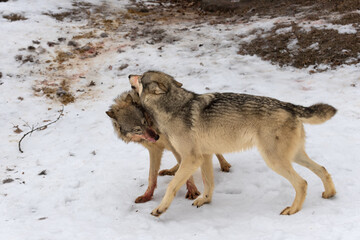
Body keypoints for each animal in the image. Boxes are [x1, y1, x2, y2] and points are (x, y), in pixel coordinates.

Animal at [129, 70, 338, 217]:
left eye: (140, 77)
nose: (129, 74)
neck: (173, 108)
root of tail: (289, 106)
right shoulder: (205, 156)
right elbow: (209, 183)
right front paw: (205, 201)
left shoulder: (191, 159)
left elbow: (172, 186)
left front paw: (160, 209)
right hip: (293, 156)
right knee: (322, 169)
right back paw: (329, 193)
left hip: (274, 160)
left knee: (302, 183)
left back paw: (293, 210)